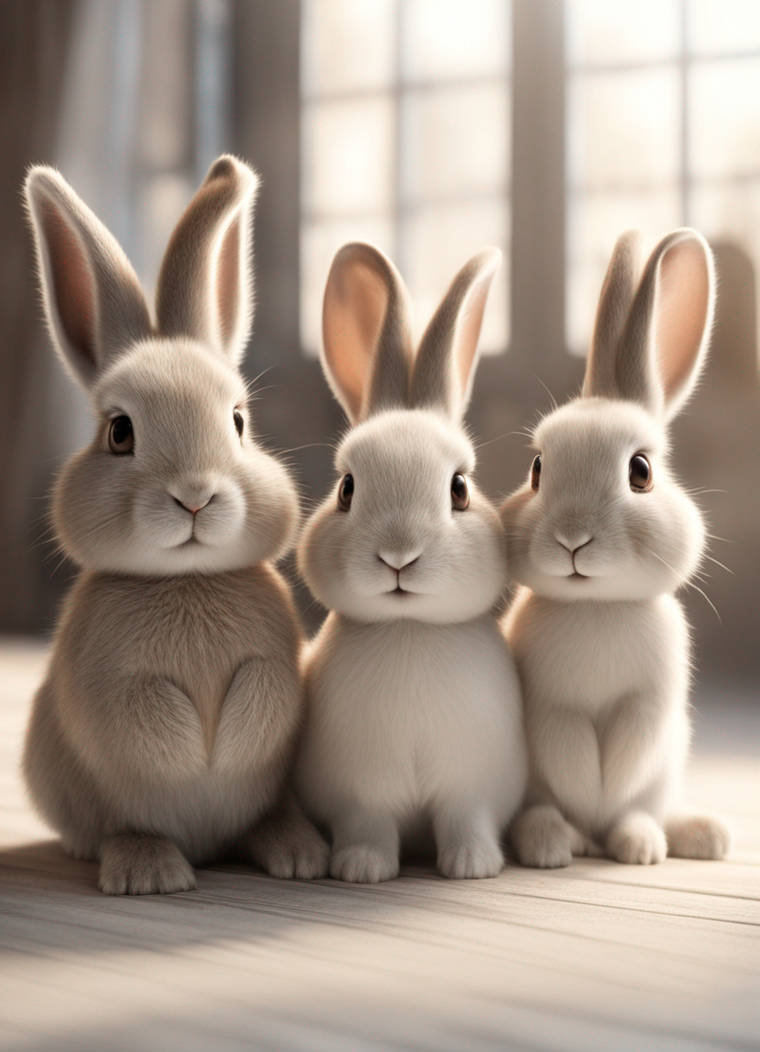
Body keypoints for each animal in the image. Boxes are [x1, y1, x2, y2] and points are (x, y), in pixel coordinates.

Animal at [22, 155, 328, 894]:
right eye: (120, 432)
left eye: (239, 422)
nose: (195, 496)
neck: (187, 579)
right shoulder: (105, 681)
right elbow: (144, 715)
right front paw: (194, 756)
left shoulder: (276, 659)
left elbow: (266, 693)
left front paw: (228, 745)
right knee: (121, 829)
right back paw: (152, 870)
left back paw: (296, 854)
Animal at [294, 242, 527, 883]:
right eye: (347, 488)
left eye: (459, 489)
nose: (398, 555)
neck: (409, 628)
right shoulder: (360, 794)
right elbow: (368, 828)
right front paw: (361, 868)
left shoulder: (471, 788)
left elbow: (466, 821)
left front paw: (474, 866)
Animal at [502, 228, 731, 868]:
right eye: (536, 470)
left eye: (641, 472)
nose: (572, 539)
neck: (596, 607)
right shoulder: (548, 704)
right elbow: (569, 747)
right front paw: (585, 801)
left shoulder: (652, 700)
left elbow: (632, 744)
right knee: (548, 811)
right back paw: (558, 841)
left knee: (640, 810)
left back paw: (653, 842)